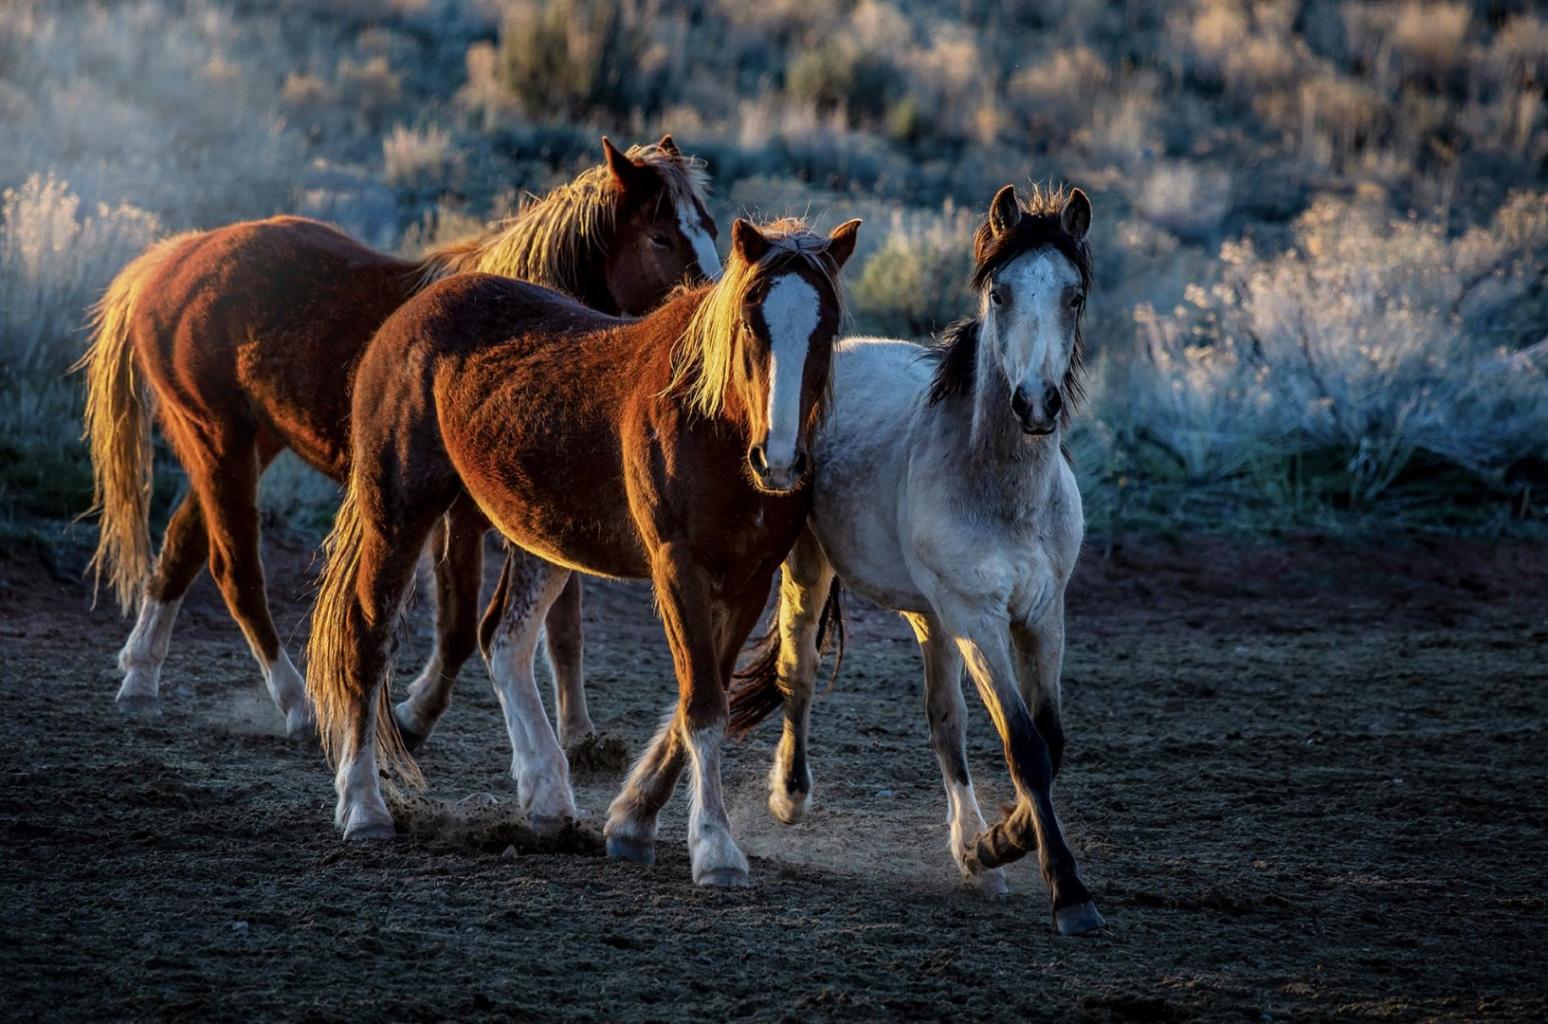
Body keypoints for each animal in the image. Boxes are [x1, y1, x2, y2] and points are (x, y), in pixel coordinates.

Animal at [78, 135, 718, 742]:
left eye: (712, 228)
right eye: (661, 237)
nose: (711, 322)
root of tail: (170, 259)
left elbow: (564, 628)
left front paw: (580, 734)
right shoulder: (464, 517)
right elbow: (460, 627)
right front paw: (416, 714)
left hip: (243, 443)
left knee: (182, 546)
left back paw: (140, 679)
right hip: (219, 440)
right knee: (236, 572)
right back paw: (298, 705)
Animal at [306, 215, 860, 887]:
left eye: (827, 329)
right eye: (753, 323)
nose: (778, 461)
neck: (711, 422)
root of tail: (409, 313)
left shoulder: (749, 581)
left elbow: (706, 697)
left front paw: (632, 822)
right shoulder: (678, 568)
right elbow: (702, 705)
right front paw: (714, 848)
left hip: (539, 534)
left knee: (505, 640)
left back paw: (547, 797)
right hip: (400, 510)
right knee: (368, 638)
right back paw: (363, 807)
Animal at [727, 185, 1104, 935]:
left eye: (1073, 295)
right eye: (1000, 293)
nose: (1036, 403)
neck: (1001, 488)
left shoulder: (1042, 614)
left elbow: (1049, 741)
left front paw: (997, 843)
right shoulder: (979, 618)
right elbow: (1026, 746)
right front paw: (1066, 890)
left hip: (933, 619)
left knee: (943, 721)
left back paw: (972, 849)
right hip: (814, 573)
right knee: (798, 670)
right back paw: (790, 796)